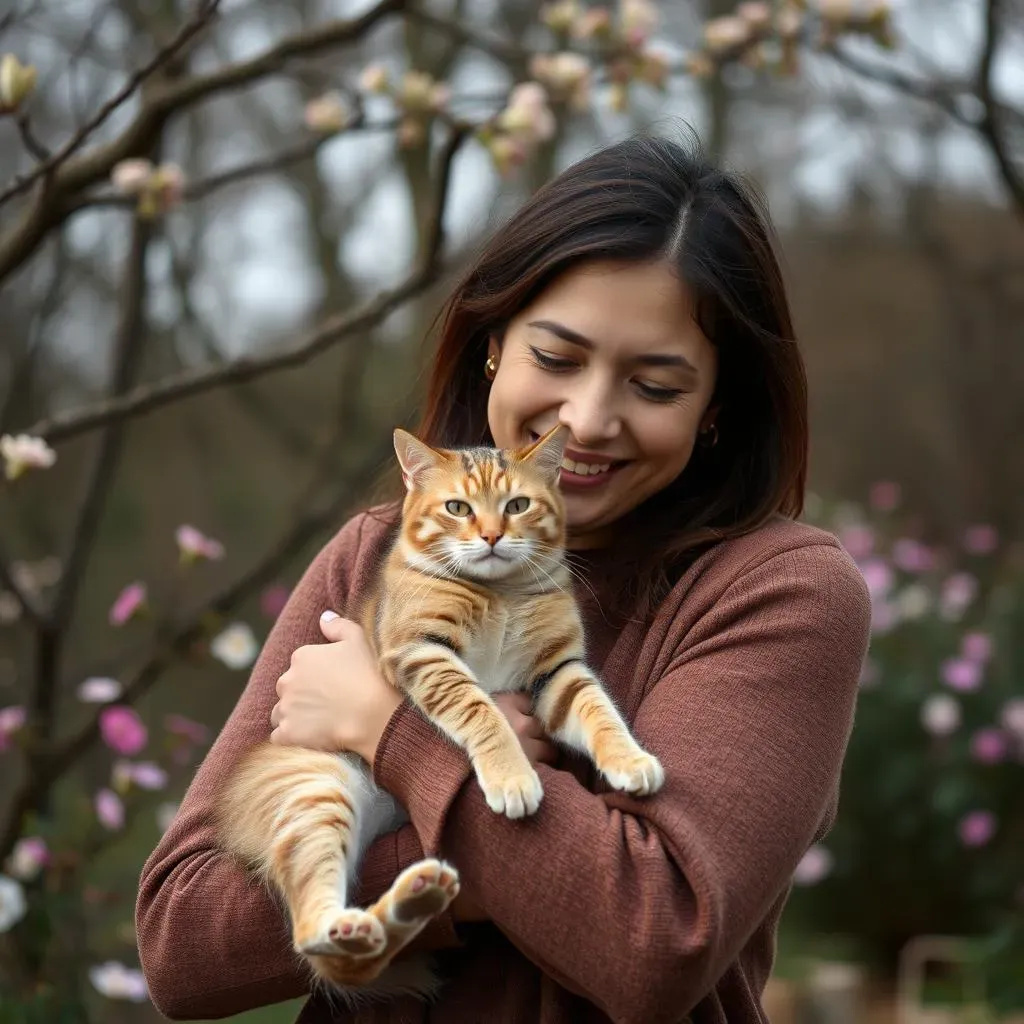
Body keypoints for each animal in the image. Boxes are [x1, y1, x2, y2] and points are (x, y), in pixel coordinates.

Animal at [216, 421, 663, 991]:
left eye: (518, 504)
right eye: (457, 507)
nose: (492, 536)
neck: (500, 593)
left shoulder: (557, 671)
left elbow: (599, 710)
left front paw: (630, 760)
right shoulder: (424, 651)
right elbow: (481, 710)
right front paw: (512, 778)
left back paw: (415, 898)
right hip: (317, 790)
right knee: (314, 938)